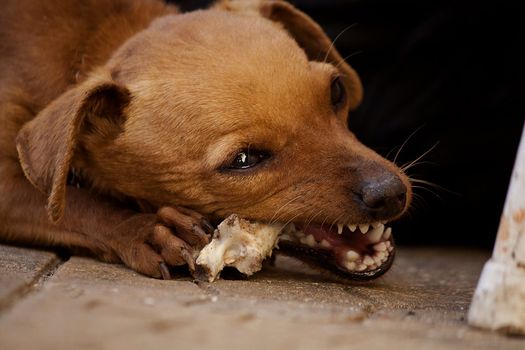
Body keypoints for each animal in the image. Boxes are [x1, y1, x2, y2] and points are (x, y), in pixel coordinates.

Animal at [0, 0, 410, 278]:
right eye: (244, 160)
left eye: (337, 91)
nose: (390, 193)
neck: (87, 46)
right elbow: (80, 205)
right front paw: (146, 229)